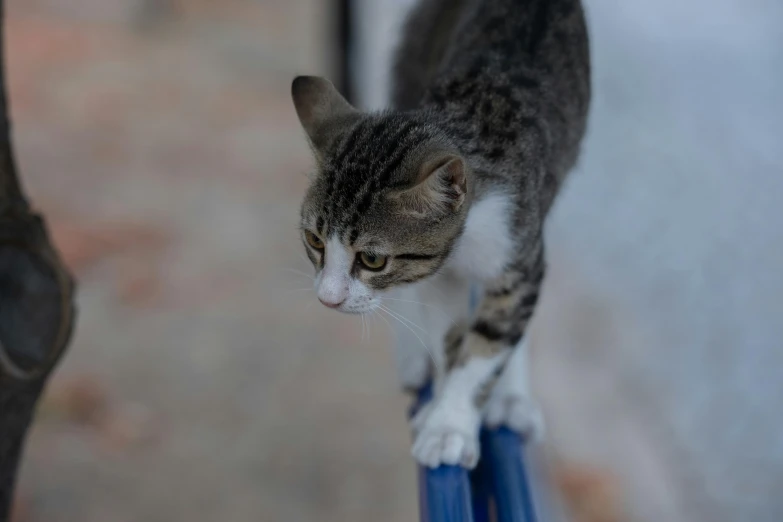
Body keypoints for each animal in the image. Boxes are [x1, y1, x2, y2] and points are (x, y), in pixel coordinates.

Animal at [290, 0, 592, 468]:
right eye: (315, 241)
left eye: (372, 259)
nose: (328, 299)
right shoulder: (439, 276)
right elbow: (449, 334)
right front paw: (440, 411)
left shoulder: (520, 251)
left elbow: (488, 343)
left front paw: (450, 422)